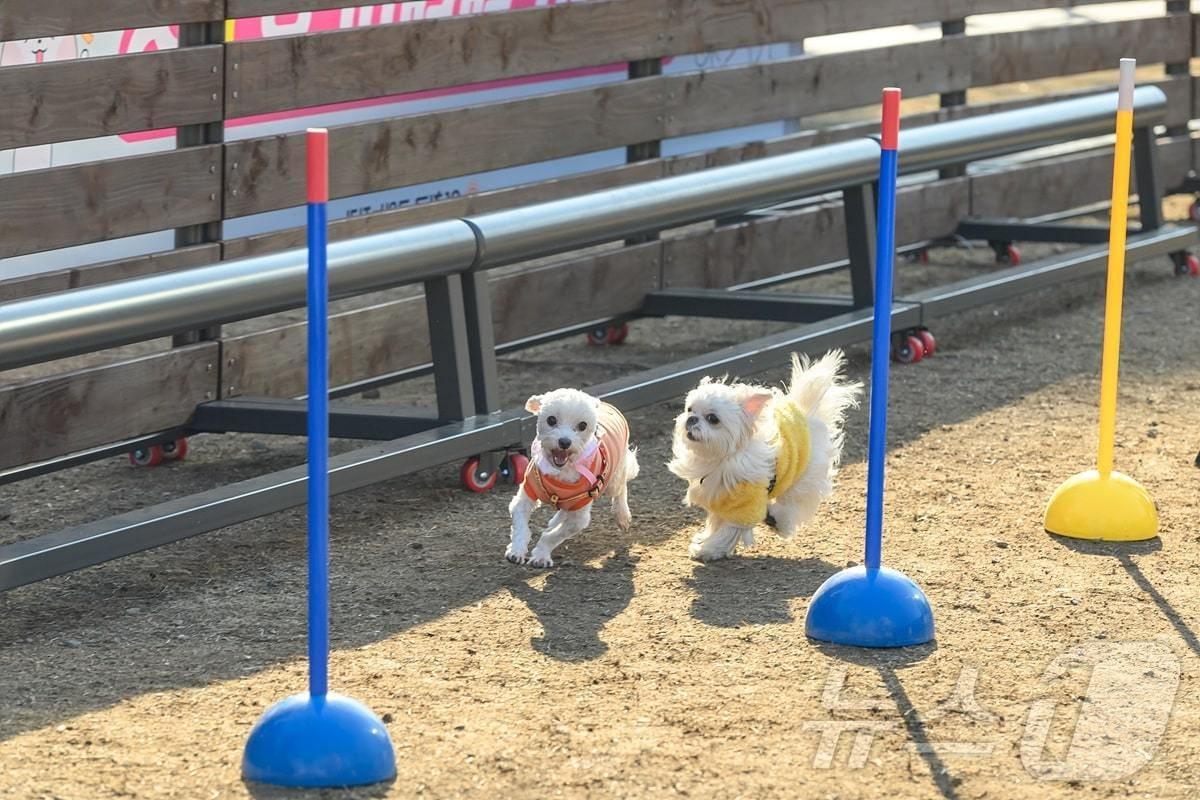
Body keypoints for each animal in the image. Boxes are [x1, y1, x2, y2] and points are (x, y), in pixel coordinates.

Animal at [504, 388, 638, 568]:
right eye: (551, 420)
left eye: (582, 425)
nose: (564, 442)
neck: (561, 472)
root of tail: (605, 404)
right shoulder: (526, 496)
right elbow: (521, 528)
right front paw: (516, 550)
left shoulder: (579, 517)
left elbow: (553, 536)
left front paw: (541, 556)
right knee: (564, 510)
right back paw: (555, 520)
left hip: (612, 481)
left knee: (621, 487)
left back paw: (622, 515)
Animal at [672, 350, 859, 563]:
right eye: (689, 409)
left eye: (713, 418)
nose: (691, 419)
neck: (720, 458)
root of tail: (806, 416)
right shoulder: (719, 498)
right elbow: (716, 523)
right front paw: (705, 541)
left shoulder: (745, 505)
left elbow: (727, 531)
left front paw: (708, 550)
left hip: (804, 477)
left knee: (792, 503)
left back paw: (779, 522)